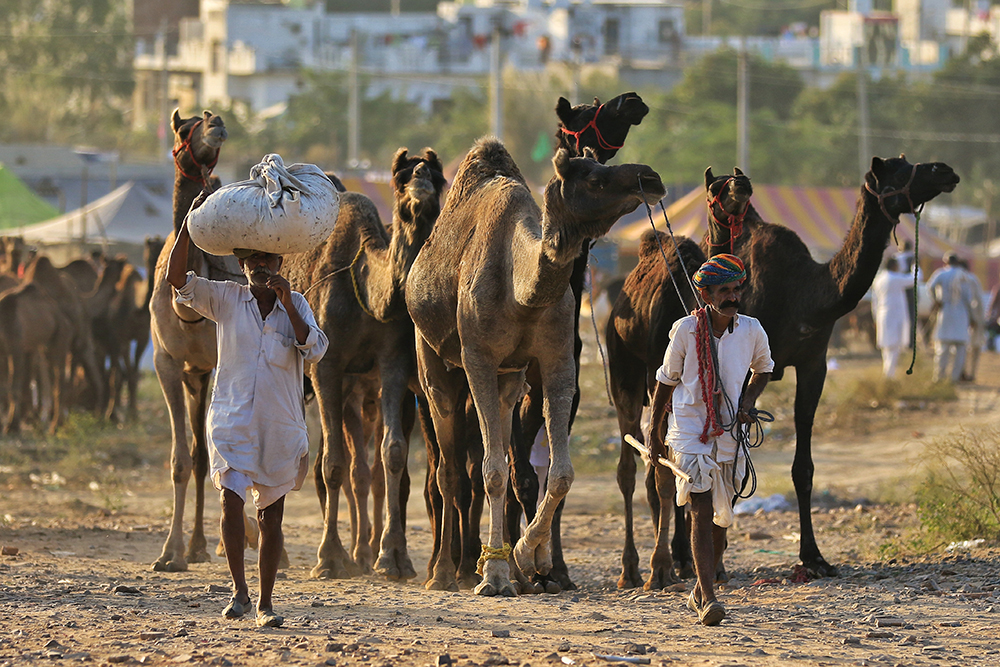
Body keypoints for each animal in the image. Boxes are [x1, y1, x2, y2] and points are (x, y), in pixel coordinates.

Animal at [278, 149, 442, 580]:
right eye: (400, 183)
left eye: (438, 183)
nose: (420, 191)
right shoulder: (327, 366)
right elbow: (334, 464)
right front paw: (330, 558)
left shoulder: (393, 362)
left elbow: (392, 454)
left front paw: (392, 558)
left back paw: (362, 552)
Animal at [406, 137, 664, 596]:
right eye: (594, 178)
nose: (651, 178)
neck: (519, 289)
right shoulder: (478, 358)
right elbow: (491, 471)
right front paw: (494, 575)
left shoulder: (557, 358)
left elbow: (559, 473)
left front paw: (529, 558)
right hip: (432, 358)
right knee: (449, 468)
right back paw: (444, 573)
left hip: (511, 376)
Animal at [700, 155, 956, 576]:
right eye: (897, 172)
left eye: (906, 162)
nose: (944, 170)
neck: (804, 295)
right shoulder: (750, 362)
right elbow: (733, 452)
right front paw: (717, 561)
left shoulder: (812, 362)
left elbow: (802, 468)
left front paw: (814, 557)